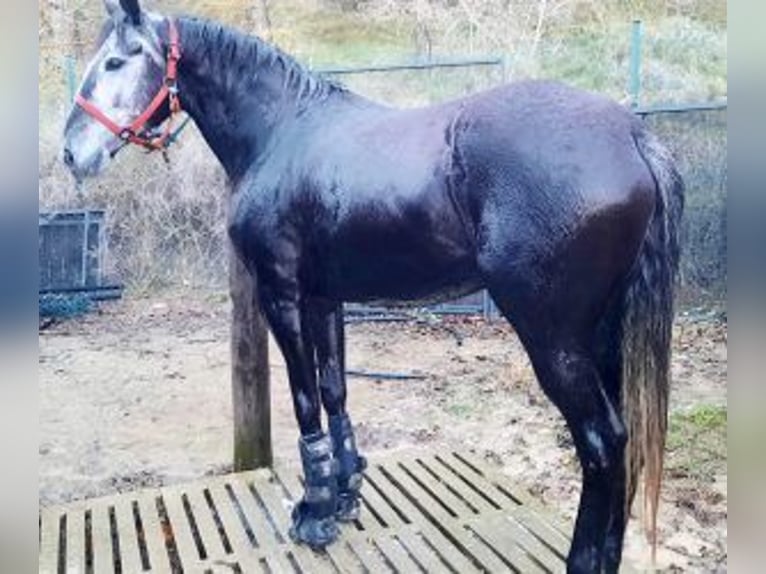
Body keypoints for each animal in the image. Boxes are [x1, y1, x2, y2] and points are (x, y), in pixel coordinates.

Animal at [61, 1, 684, 572]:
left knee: (602, 444)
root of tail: (633, 134)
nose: (72, 153)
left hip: (552, 338)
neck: (281, 130)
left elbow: (305, 398)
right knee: (622, 444)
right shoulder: (324, 298)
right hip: (601, 334)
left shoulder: (280, 295)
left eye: (117, 59)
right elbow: (335, 390)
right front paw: (344, 495)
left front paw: (314, 512)